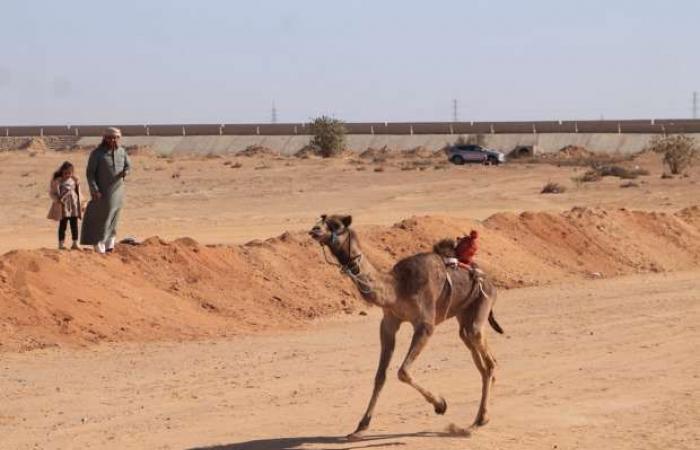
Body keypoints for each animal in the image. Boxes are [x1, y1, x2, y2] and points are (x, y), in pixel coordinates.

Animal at [310, 214, 504, 440]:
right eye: (322, 218)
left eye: (337, 225)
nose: (314, 230)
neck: (396, 287)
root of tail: (488, 279)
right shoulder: (388, 322)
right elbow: (380, 375)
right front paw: (361, 426)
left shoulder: (425, 324)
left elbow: (402, 371)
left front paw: (440, 404)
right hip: (464, 317)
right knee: (479, 357)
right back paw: (480, 419)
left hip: (483, 301)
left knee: (487, 359)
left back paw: (476, 422)